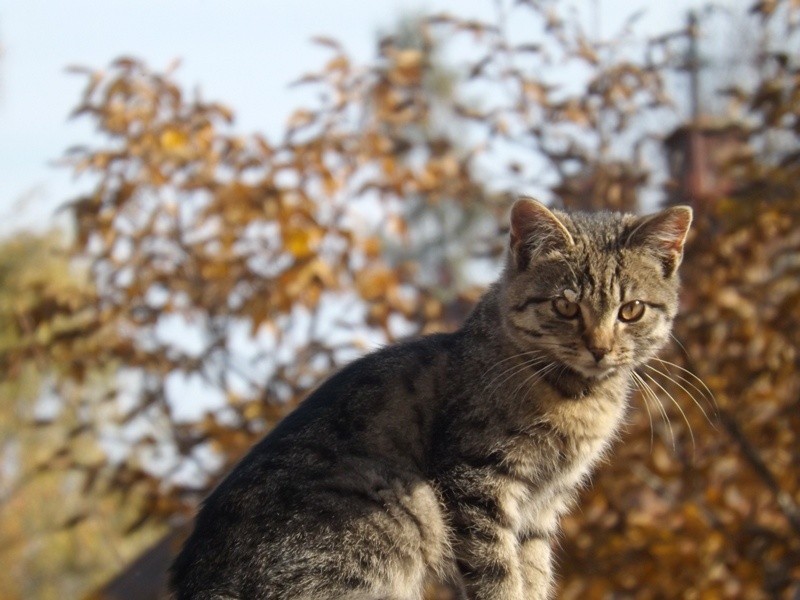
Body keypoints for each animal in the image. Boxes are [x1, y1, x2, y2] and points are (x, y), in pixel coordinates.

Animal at [170, 198, 692, 600]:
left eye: (631, 310)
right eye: (565, 305)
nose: (600, 348)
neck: (579, 398)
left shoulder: (543, 507)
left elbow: (534, 573)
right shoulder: (479, 481)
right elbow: (497, 574)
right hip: (397, 516)